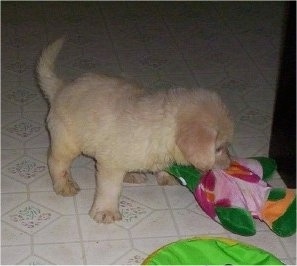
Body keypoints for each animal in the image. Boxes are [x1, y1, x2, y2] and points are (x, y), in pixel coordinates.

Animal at [37, 38, 232, 223]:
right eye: (218, 148)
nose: (230, 164)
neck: (161, 129)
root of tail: (60, 88)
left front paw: (166, 176)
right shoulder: (110, 164)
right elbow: (110, 189)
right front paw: (106, 212)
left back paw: (132, 174)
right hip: (67, 141)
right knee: (56, 162)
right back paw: (64, 185)